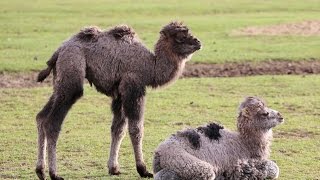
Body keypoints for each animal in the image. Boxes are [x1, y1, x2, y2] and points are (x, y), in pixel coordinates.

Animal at [35, 21, 200, 179]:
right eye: (181, 36)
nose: (198, 42)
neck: (150, 66)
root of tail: (58, 52)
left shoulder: (119, 94)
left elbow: (118, 129)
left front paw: (114, 168)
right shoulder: (133, 88)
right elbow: (136, 129)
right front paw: (143, 169)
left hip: (60, 81)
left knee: (41, 117)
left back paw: (40, 171)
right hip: (72, 72)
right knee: (53, 122)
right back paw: (54, 174)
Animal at [154, 97, 284, 180]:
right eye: (265, 113)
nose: (281, 116)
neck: (244, 143)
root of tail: (159, 152)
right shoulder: (239, 165)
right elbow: (274, 168)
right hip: (188, 163)